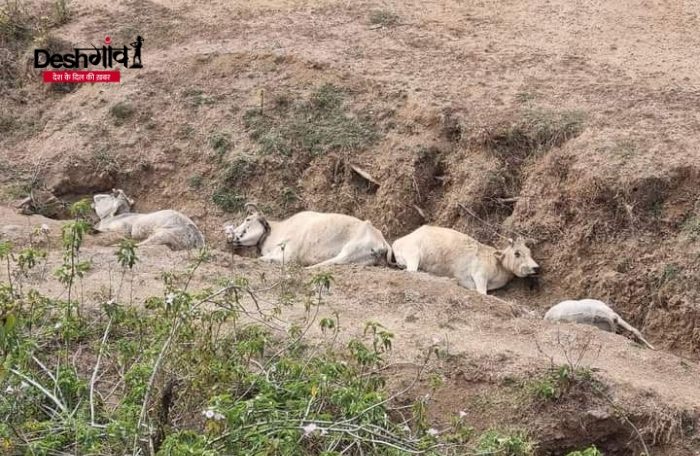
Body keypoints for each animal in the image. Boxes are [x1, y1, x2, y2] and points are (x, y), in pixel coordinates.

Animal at [223, 203, 392, 268]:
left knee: (333, 262)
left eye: (248, 219)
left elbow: (263, 259)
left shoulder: (288, 254)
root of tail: (382, 240)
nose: (229, 236)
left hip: (351, 249)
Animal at [392, 225, 540, 296]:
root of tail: (397, 242)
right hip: (413, 255)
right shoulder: (480, 275)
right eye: (517, 253)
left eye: (529, 252)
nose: (536, 267)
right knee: (412, 271)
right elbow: (482, 292)